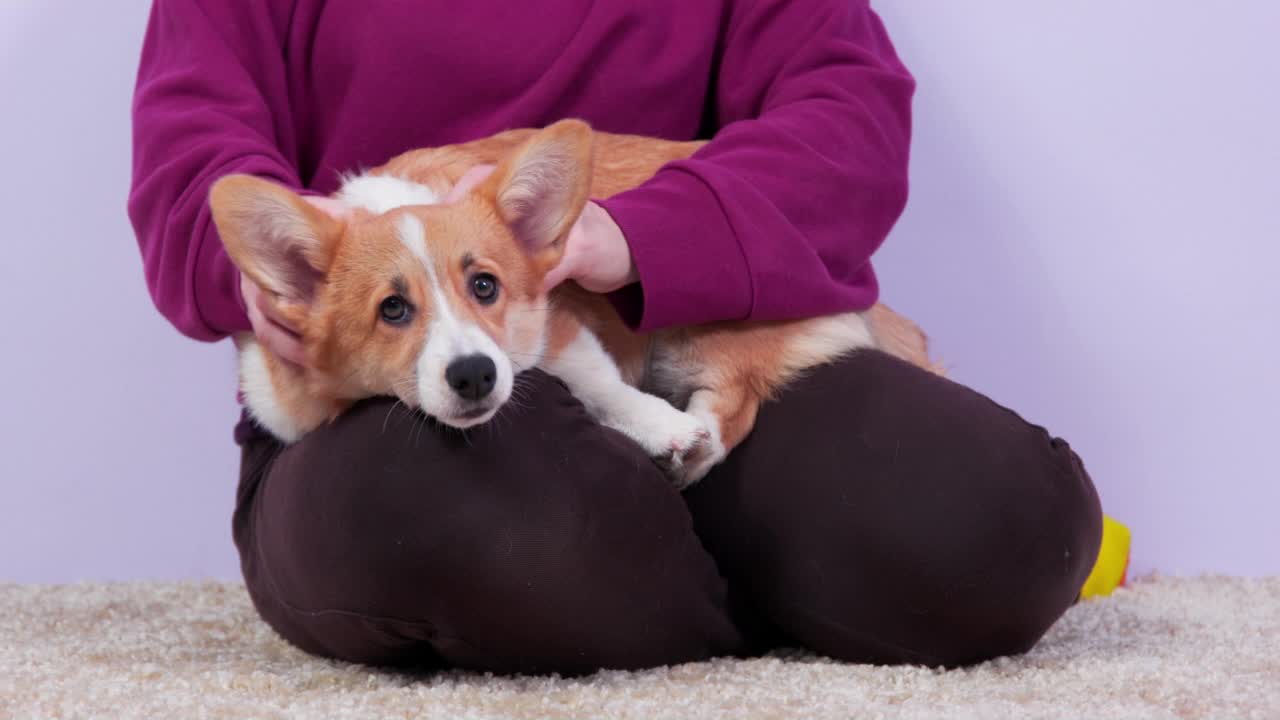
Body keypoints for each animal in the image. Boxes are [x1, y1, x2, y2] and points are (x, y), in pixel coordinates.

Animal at [209, 120, 942, 484]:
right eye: (392, 310)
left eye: (486, 286)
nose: (475, 375)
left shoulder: (554, 326)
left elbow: (598, 383)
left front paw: (659, 427)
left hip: (707, 329)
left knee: (736, 400)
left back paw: (694, 442)